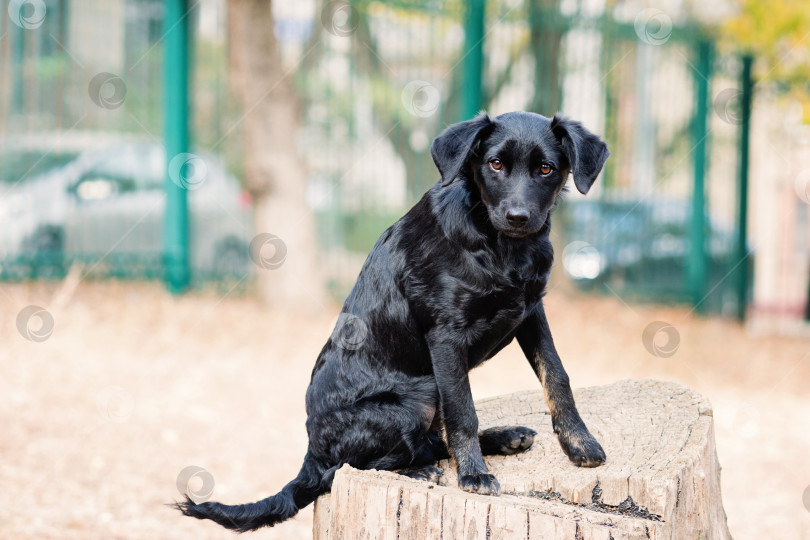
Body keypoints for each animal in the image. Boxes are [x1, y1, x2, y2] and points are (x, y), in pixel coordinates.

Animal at [177, 109, 608, 532]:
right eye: (496, 164)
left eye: (546, 169)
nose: (518, 217)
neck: (499, 245)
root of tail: (311, 454)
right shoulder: (446, 336)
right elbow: (462, 411)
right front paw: (473, 474)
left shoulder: (531, 311)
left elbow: (556, 375)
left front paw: (579, 443)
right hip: (413, 403)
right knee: (347, 469)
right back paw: (419, 471)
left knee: (426, 443)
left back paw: (504, 438)